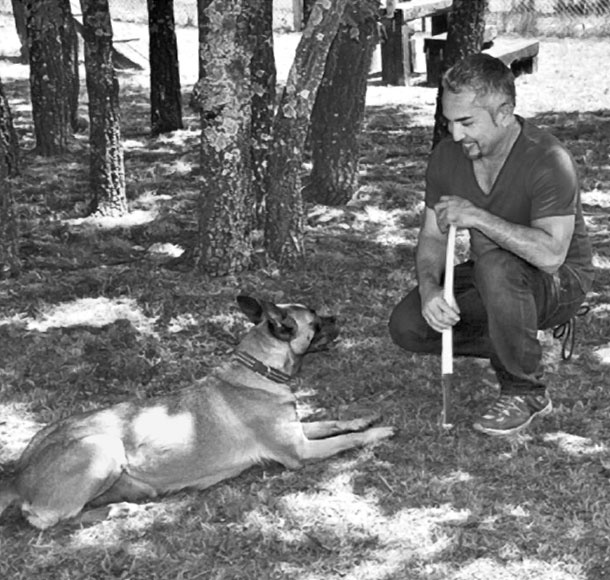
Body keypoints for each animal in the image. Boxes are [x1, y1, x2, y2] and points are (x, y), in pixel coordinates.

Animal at [0, 296, 394, 528]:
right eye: (315, 321)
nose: (339, 317)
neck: (259, 369)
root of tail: (18, 475)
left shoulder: (298, 431)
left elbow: (332, 420)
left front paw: (365, 416)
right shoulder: (299, 452)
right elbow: (348, 439)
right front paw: (377, 433)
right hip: (100, 447)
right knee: (48, 519)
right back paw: (120, 510)